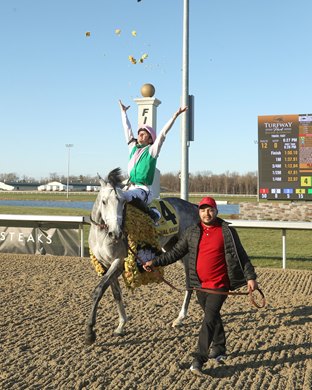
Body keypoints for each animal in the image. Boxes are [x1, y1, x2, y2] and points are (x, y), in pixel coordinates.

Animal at [85, 168, 197, 344]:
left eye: (123, 203)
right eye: (104, 201)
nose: (116, 233)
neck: (102, 235)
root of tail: (193, 206)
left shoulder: (118, 262)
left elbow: (99, 289)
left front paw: (90, 332)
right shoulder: (105, 264)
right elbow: (116, 293)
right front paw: (121, 325)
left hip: (187, 252)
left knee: (189, 283)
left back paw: (180, 318)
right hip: (173, 248)